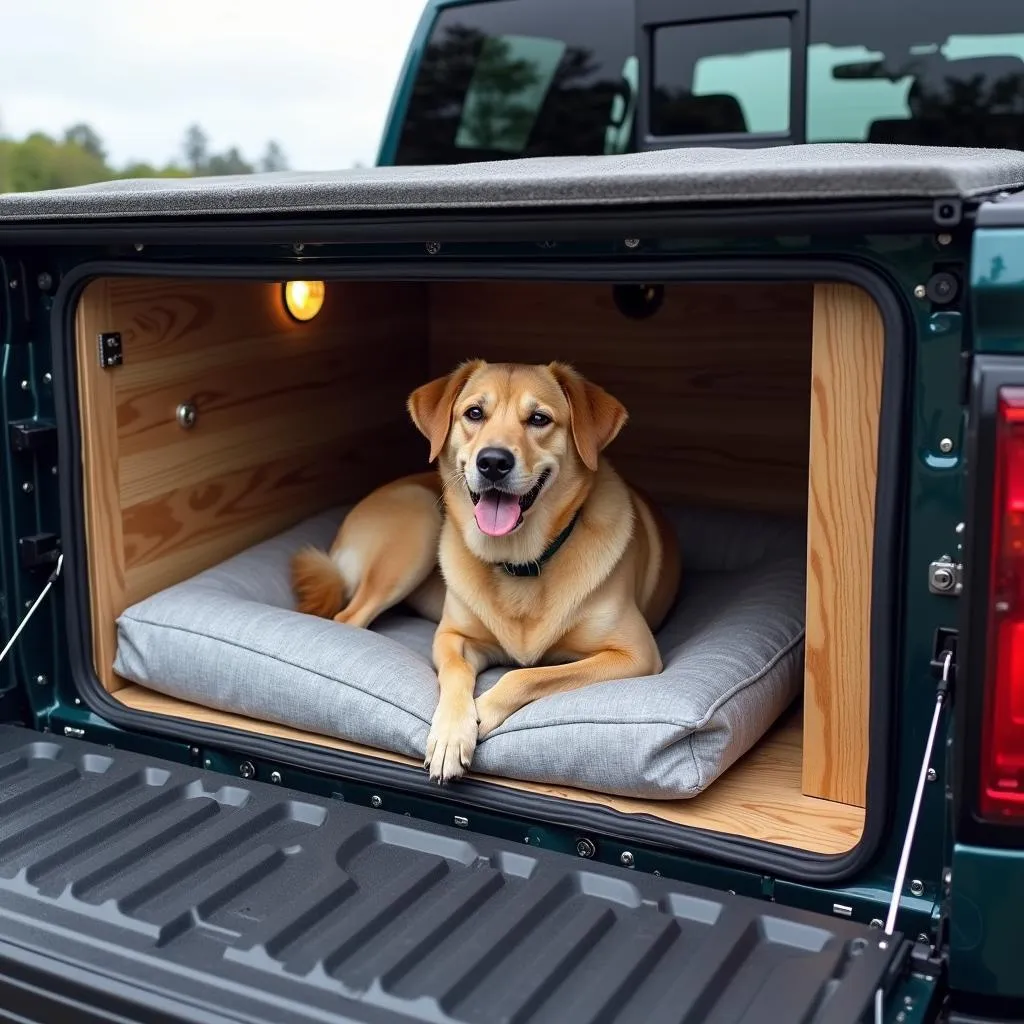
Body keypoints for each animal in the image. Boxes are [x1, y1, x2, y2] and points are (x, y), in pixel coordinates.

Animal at [292, 360, 684, 782]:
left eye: (539, 419)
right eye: (475, 413)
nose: (493, 461)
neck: (520, 562)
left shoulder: (635, 654)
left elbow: (525, 674)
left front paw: (481, 715)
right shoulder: (452, 637)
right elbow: (456, 674)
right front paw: (451, 732)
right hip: (421, 521)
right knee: (348, 618)